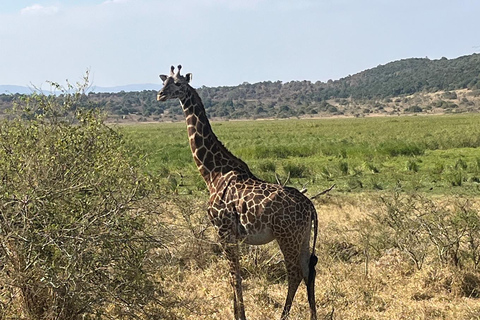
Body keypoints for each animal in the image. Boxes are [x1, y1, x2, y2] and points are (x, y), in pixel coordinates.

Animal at [156, 65, 318, 320]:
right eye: (164, 82)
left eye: (178, 84)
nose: (160, 95)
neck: (212, 173)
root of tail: (310, 206)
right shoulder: (232, 234)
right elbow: (237, 273)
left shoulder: (222, 230)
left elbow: (234, 274)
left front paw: (239, 315)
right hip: (303, 236)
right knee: (308, 270)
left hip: (287, 235)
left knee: (294, 272)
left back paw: (283, 315)